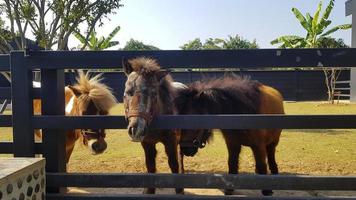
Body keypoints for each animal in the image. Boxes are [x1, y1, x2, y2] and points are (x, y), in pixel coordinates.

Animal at [122, 57, 184, 194]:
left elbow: (174, 164)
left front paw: (180, 190)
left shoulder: (171, 143)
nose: (136, 130)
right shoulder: (147, 144)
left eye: (154, 93)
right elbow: (150, 165)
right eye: (127, 92)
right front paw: (149, 190)